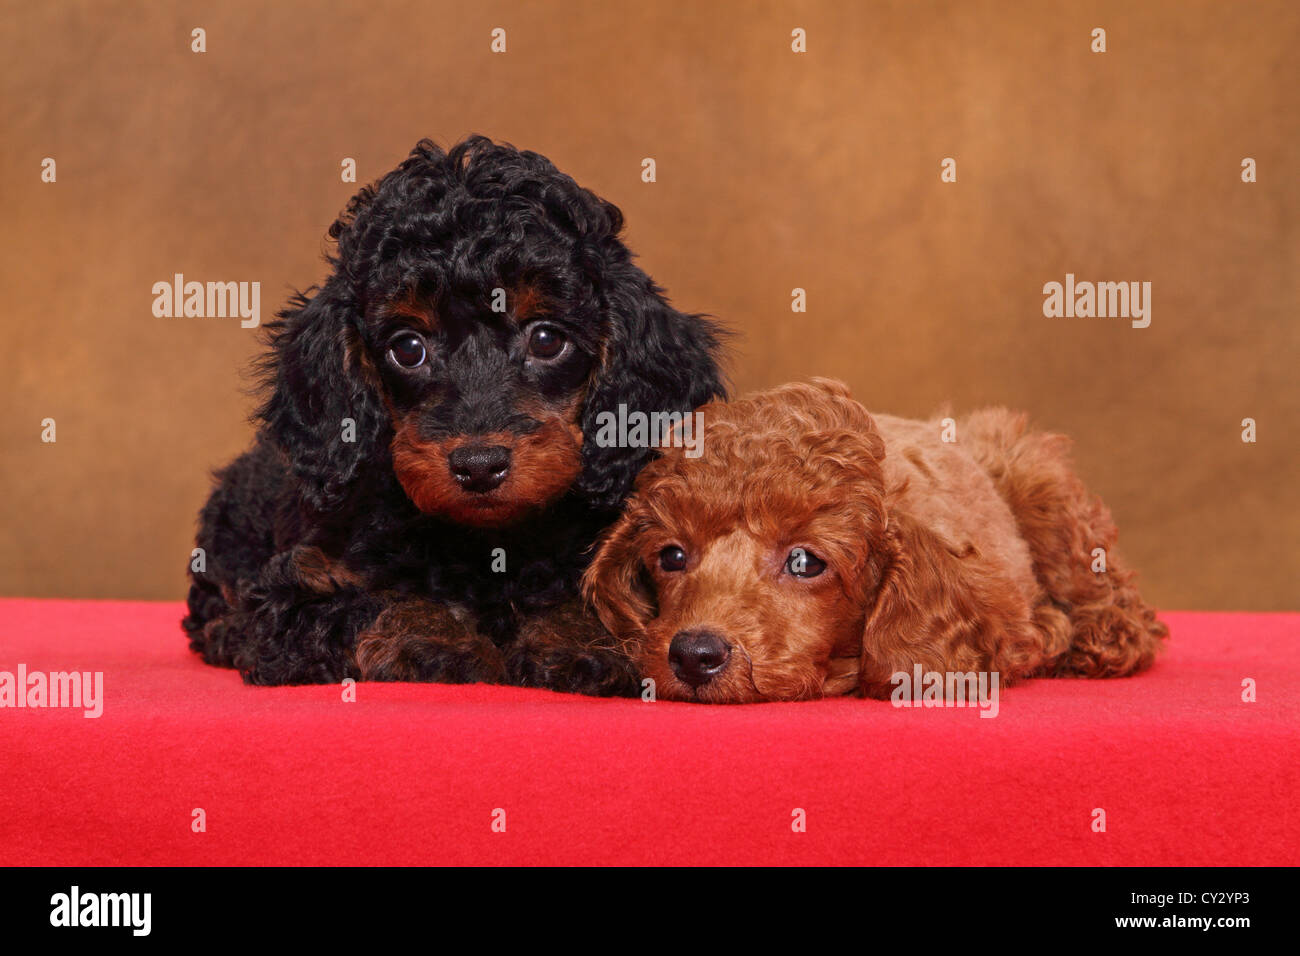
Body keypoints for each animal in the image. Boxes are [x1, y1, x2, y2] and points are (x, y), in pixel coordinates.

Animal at [184, 136, 728, 697]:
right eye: (408, 349)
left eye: (547, 339)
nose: (479, 465)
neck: (488, 543)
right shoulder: (292, 595)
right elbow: (377, 598)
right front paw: (432, 638)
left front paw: (585, 642)